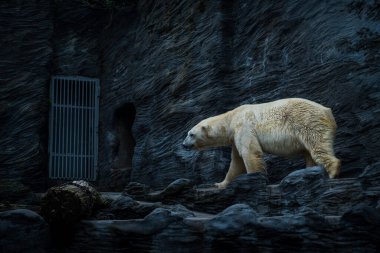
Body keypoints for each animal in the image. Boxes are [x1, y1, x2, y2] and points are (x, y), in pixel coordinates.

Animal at [183, 98, 340, 189]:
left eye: (191, 134)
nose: (184, 144)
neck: (231, 118)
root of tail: (327, 111)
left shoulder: (244, 127)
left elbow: (250, 152)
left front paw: (254, 179)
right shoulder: (235, 137)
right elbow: (236, 162)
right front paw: (220, 183)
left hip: (308, 121)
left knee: (317, 145)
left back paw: (332, 172)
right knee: (309, 152)